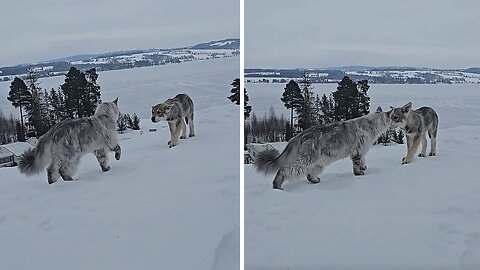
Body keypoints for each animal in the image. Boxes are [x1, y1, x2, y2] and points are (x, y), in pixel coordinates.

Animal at [255, 107, 394, 190]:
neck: (371, 125)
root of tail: (298, 136)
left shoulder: (362, 150)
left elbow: (363, 160)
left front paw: (364, 167)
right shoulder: (357, 149)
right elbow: (357, 164)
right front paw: (359, 173)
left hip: (319, 161)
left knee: (309, 174)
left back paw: (316, 180)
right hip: (307, 159)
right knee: (285, 169)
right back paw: (277, 186)